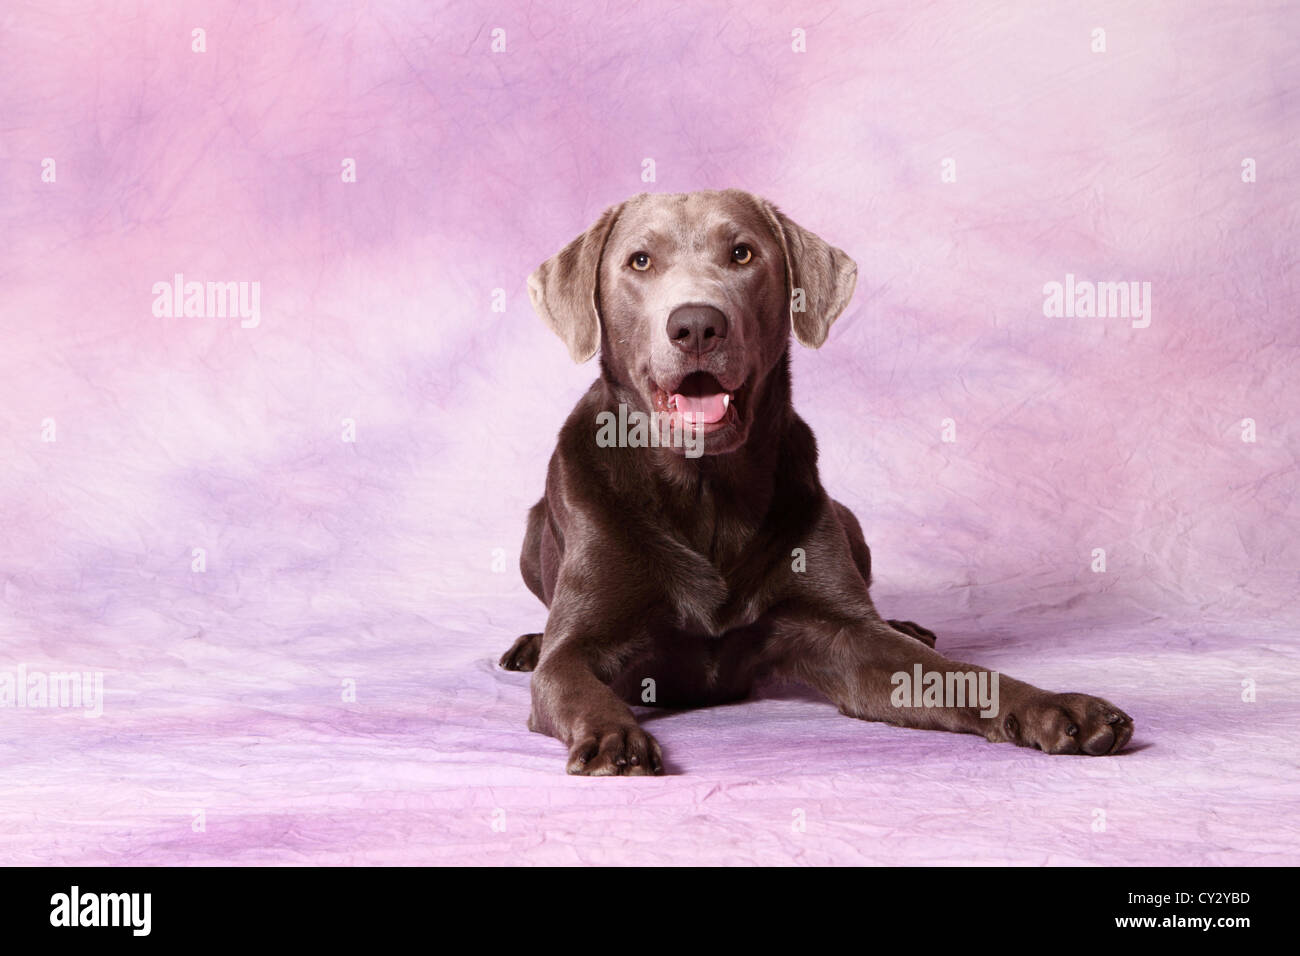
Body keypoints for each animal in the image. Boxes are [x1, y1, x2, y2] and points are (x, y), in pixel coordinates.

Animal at [501, 191, 1133, 775]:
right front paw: (613, 736)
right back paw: (529, 644)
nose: (698, 325)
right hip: (532, 537)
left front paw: (1059, 707)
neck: (706, 489)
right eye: (639, 261)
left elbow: (957, 675)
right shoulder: (575, 652)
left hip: (850, 524)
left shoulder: (847, 640)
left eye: (742, 253)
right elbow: (573, 680)